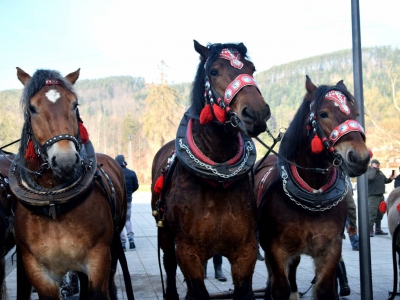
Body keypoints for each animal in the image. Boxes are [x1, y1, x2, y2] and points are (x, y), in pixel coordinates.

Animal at [9, 68, 125, 300]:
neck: (53, 202)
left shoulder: (99, 258)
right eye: (32, 108)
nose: (65, 160)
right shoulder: (36, 269)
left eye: (74, 104)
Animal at [151, 41, 272, 300]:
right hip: (164, 233)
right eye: (214, 71)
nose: (256, 113)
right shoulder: (188, 252)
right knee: (169, 263)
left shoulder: (246, 250)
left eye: (251, 68)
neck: (218, 178)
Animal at [255, 76, 370, 298]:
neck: (313, 193)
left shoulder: (331, 247)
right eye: (323, 114)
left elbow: (324, 288)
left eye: (356, 113)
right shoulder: (274, 247)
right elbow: (279, 287)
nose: (360, 158)